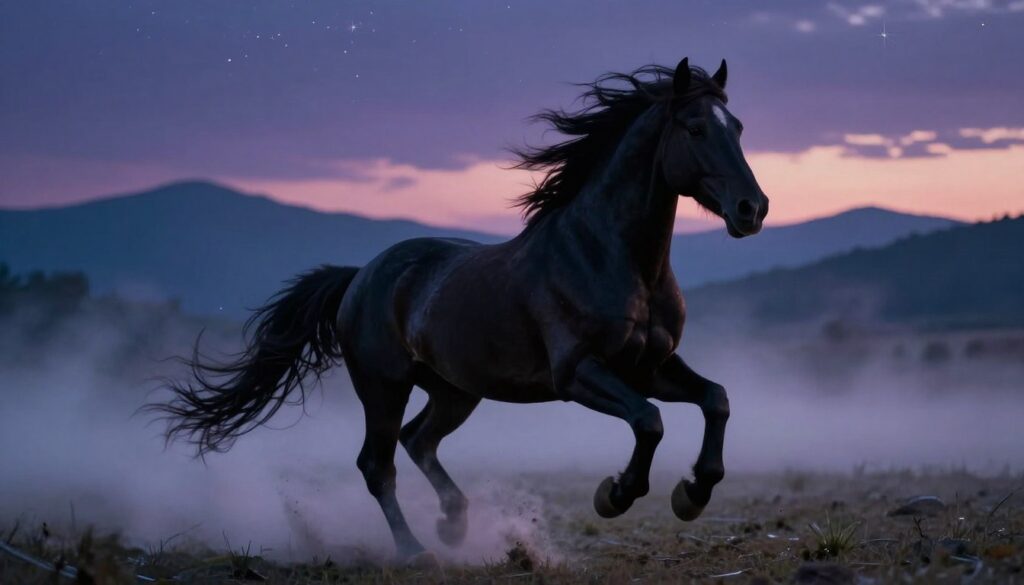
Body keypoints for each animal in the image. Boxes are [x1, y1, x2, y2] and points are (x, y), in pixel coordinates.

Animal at [150, 57, 769, 560]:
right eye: (694, 128)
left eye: (738, 128)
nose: (753, 208)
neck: (613, 258)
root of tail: (360, 276)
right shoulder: (579, 373)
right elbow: (649, 421)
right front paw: (615, 494)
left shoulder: (650, 367)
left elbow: (716, 399)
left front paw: (693, 492)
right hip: (384, 385)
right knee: (377, 464)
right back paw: (417, 552)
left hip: (455, 389)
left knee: (418, 441)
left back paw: (454, 524)